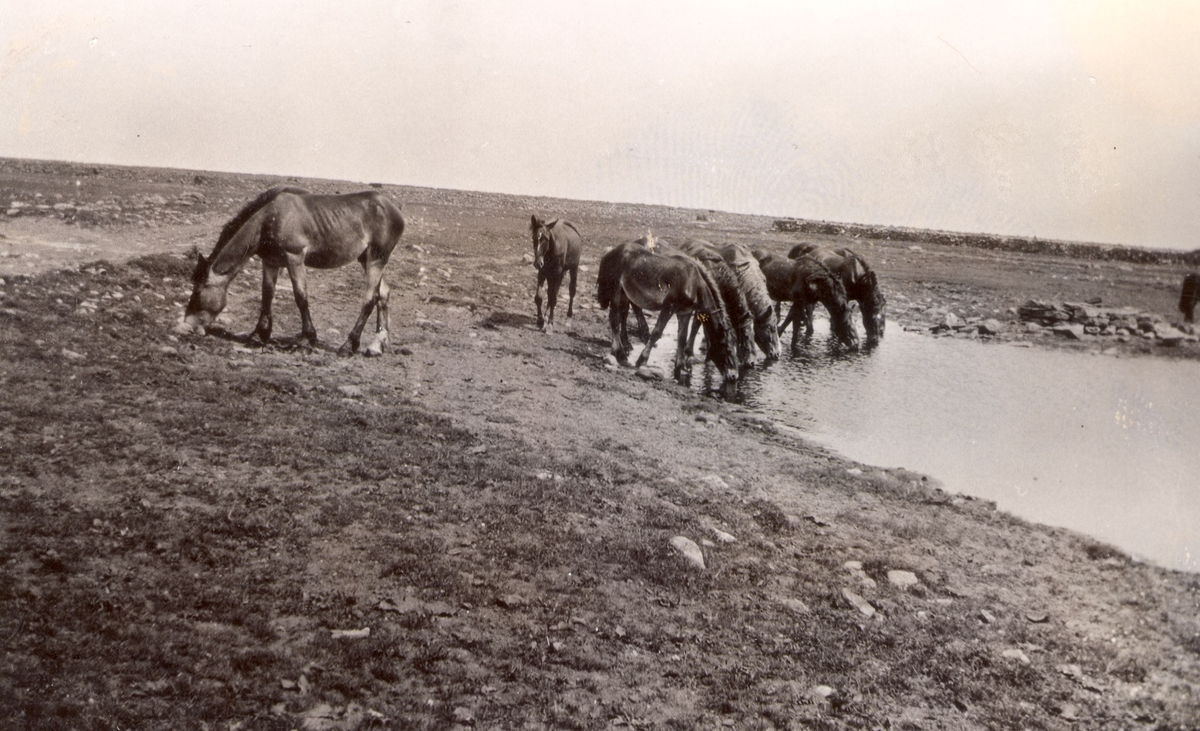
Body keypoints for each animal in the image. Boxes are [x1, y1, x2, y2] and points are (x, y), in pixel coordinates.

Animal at [180, 186, 405, 356]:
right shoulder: (271, 262)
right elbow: (267, 295)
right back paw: (377, 345)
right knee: (383, 294)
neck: (268, 218)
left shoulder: (294, 257)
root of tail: (394, 209)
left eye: (198, 292)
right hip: (365, 259)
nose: (187, 326)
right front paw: (258, 335)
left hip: (377, 259)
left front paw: (306, 340)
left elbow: (300, 297)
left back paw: (349, 345)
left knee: (370, 299)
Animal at [597, 237, 739, 383]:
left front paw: (679, 369)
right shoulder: (669, 308)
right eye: (726, 347)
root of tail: (611, 251)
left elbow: (682, 338)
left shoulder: (685, 313)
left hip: (624, 294)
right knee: (614, 319)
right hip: (616, 293)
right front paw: (642, 359)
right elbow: (657, 333)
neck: (692, 282)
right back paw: (621, 355)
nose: (734, 376)